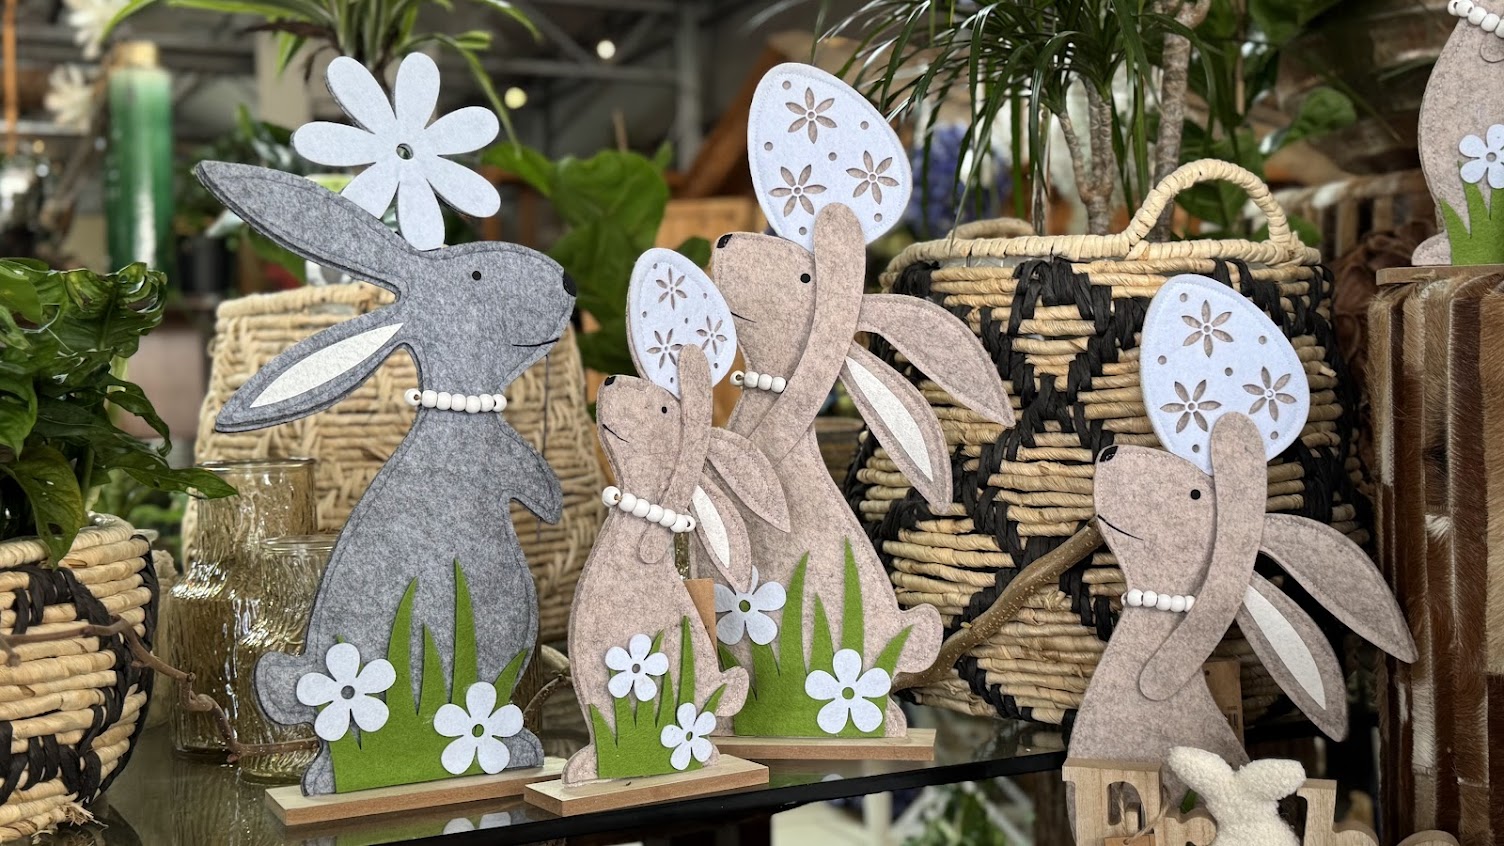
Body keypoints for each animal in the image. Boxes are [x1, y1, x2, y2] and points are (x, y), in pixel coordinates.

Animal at [196, 162, 575, 795]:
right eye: (476, 273)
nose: (570, 280)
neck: (458, 412)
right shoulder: (502, 458)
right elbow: (530, 479)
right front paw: (549, 499)